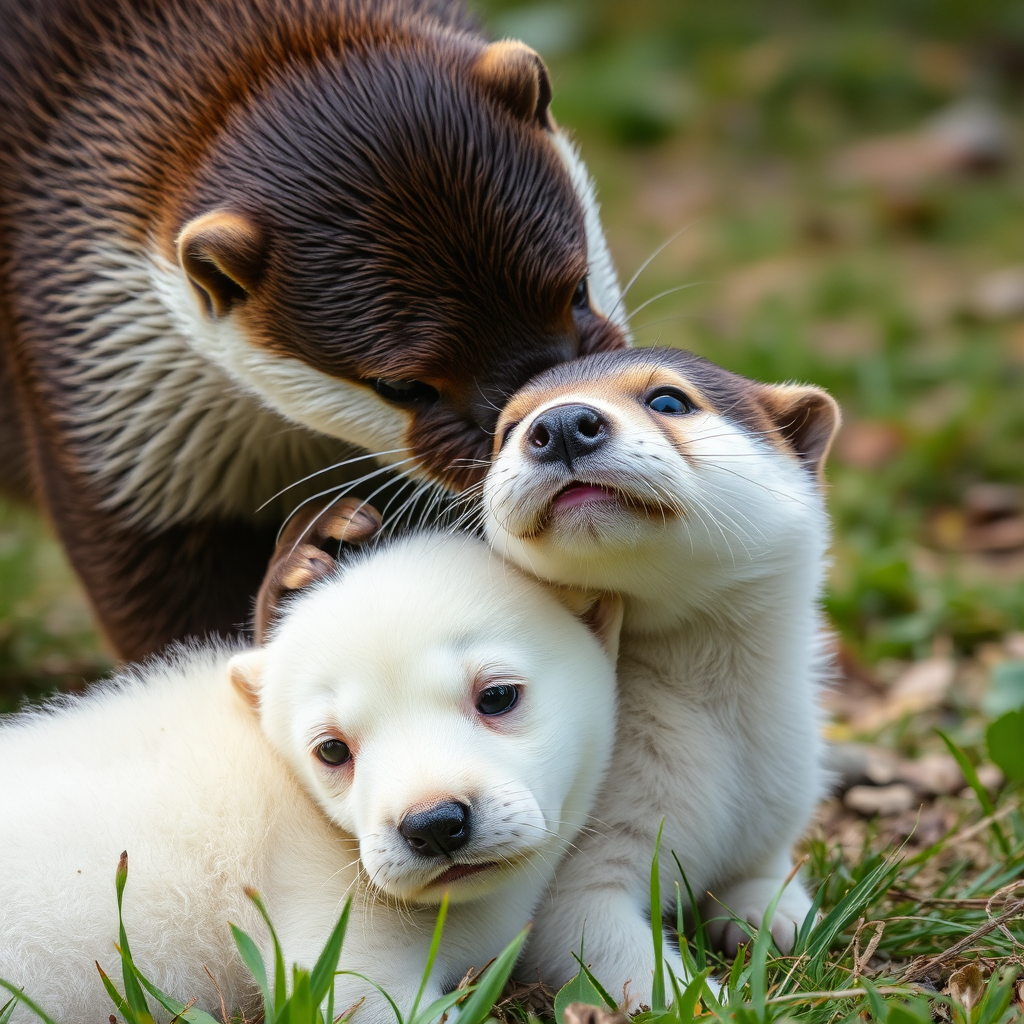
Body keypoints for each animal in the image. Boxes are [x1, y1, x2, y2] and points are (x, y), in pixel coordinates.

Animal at [485, 346, 839, 1007]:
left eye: (668, 400)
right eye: (508, 429)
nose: (562, 422)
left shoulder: (773, 812)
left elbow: (763, 877)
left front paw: (781, 918)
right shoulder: (574, 891)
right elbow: (630, 962)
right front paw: (717, 1005)